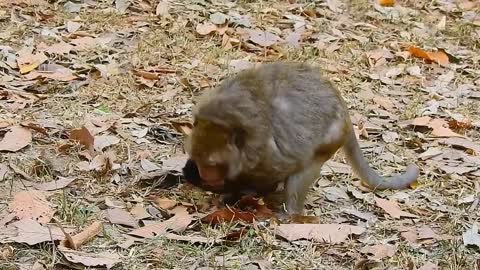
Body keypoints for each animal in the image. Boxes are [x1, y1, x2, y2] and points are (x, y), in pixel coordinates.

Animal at [184, 61, 420, 215]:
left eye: (212, 164)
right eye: (198, 159)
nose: (205, 175)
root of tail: (344, 109)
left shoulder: (264, 152)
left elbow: (279, 172)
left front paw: (234, 192)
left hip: (330, 137)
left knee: (304, 168)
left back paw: (289, 213)